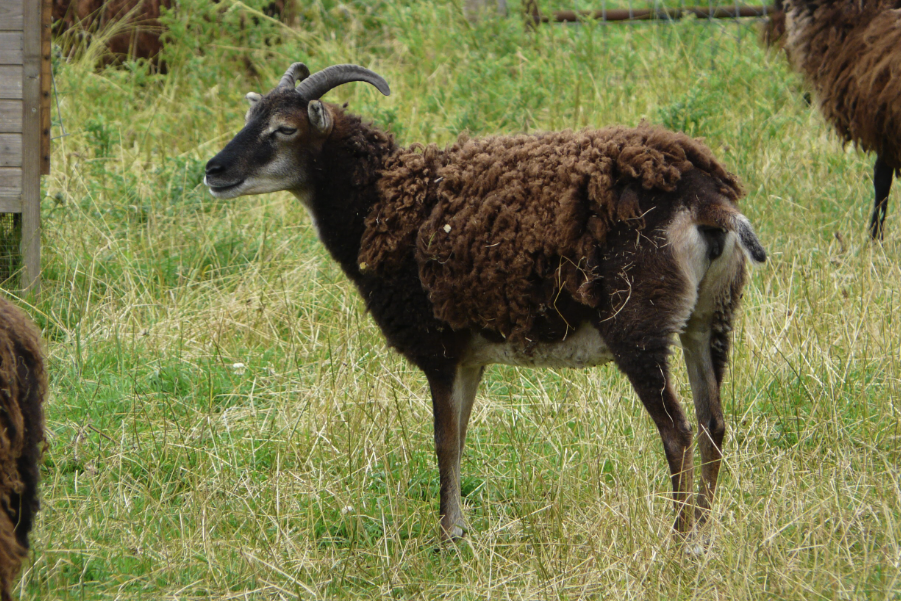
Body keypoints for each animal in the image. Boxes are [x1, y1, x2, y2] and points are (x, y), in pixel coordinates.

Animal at [204, 63, 768, 540]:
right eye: (251, 117)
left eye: (284, 129)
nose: (213, 171)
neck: (386, 197)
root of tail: (708, 201)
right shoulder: (470, 357)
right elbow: (459, 435)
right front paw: (458, 528)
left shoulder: (438, 348)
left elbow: (442, 441)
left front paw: (447, 537)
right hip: (708, 320)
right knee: (713, 424)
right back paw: (704, 536)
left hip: (640, 327)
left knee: (678, 432)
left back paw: (679, 541)